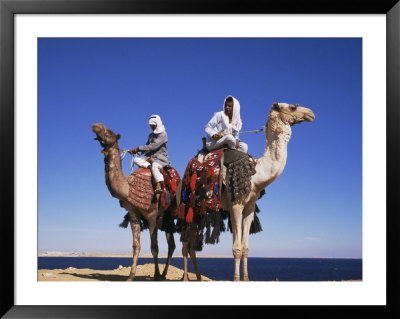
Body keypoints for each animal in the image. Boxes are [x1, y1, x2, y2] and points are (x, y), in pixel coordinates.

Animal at [94, 124, 177, 282]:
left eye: (110, 132)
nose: (96, 125)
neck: (128, 187)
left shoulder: (152, 215)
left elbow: (154, 247)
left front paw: (156, 275)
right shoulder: (133, 214)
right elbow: (136, 246)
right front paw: (130, 276)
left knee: (172, 245)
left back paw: (164, 275)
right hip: (167, 219)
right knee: (172, 245)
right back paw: (164, 274)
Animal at [180, 103, 316, 282]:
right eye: (293, 107)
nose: (311, 114)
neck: (256, 174)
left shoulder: (249, 206)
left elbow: (245, 248)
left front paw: (246, 278)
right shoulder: (236, 205)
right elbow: (236, 248)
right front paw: (236, 279)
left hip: (198, 211)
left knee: (191, 245)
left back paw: (198, 278)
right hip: (187, 206)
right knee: (186, 244)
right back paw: (185, 279)